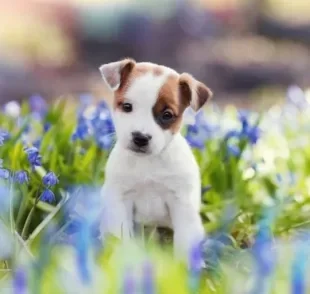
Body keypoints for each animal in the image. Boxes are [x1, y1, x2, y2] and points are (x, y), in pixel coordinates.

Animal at [99, 58, 213, 262]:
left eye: (167, 115)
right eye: (127, 106)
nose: (140, 138)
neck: (148, 163)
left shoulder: (181, 204)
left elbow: (183, 243)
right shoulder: (120, 201)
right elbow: (122, 237)